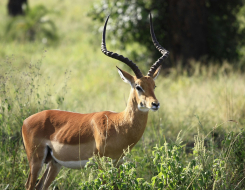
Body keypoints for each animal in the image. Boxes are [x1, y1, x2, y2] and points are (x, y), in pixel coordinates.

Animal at [21, 12, 168, 189]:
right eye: (138, 86)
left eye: (154, 85)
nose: (155, 104)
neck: (119, 123)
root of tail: (26, 121)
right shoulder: (102, 164)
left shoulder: (117, 163)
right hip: (35, 161)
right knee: (29, 185)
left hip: (54, 163)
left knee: (40, 186)